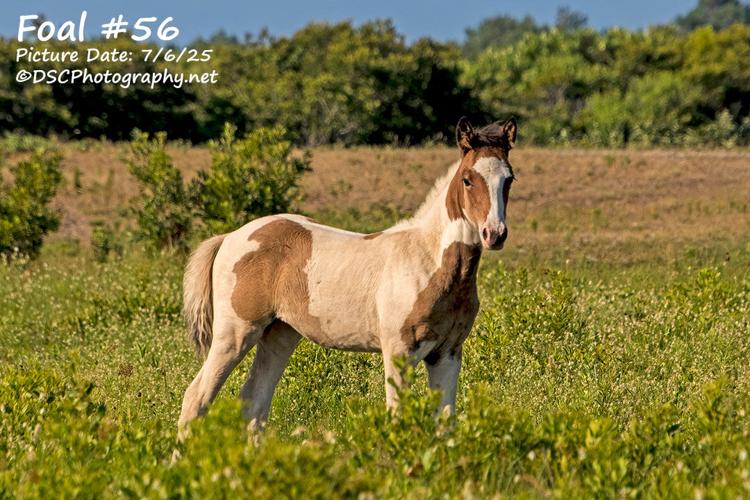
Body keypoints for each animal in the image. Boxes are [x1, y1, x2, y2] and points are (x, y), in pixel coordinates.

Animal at [178, 116, 517, 433]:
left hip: (279, 334)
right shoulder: (399, 350)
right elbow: (397, 417)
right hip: (235, 332)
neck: (429, 261)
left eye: (509, 179)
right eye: (468, 179)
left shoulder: (447, 353)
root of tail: (230, 237)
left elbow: (446, 422)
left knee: (254, 404)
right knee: (197, 397)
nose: (494, 234)